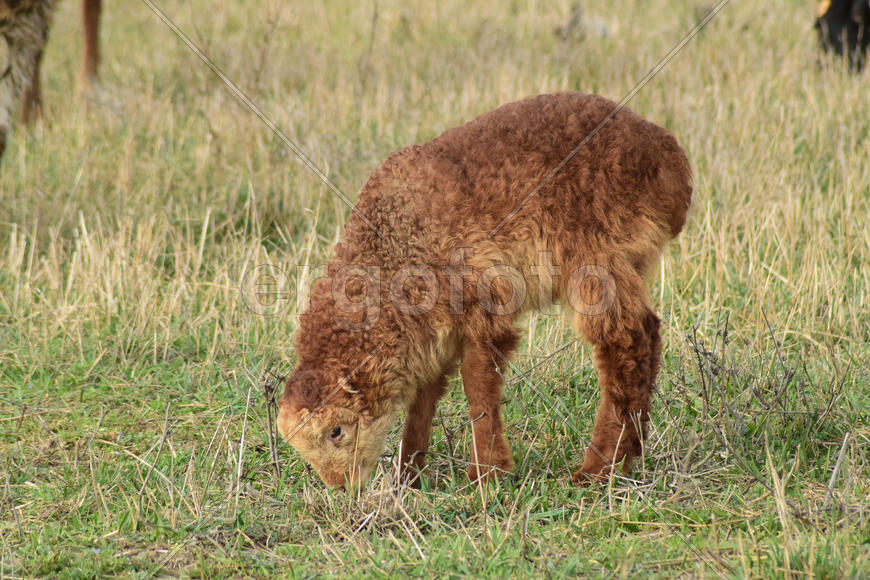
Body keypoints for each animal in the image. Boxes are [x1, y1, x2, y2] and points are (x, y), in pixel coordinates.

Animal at [278, 92, 692, 489]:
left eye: (336, 431)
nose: (341, 488)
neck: (395, 242)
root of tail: (670, 158)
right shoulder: (430, 335)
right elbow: (423, 400)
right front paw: (407, 478)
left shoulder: (482, 309)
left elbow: (478, 388)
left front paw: (486, 476)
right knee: (648, 334)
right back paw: (628, 455)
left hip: (597, 260)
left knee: (625, 345)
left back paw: (597, 470)